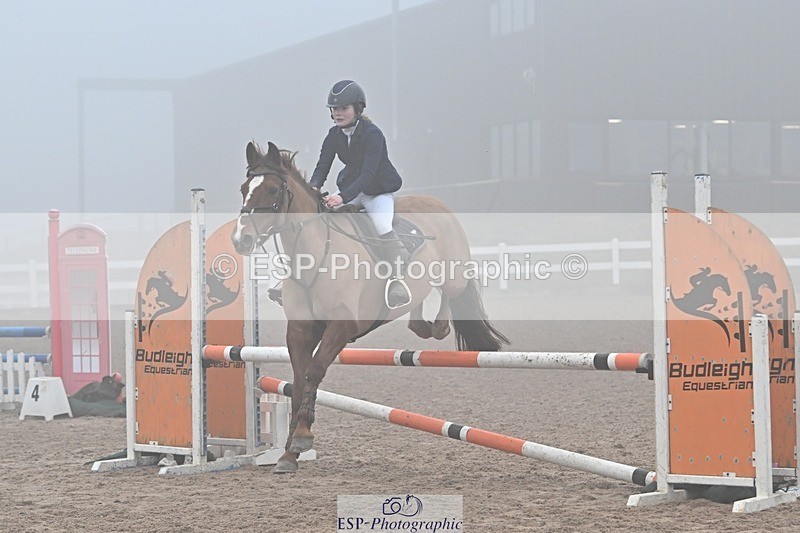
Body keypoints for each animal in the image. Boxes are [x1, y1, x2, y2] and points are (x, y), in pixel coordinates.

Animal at [232, 141, 508, 473]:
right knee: (419, 308)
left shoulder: (341, 327)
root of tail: (437, 203)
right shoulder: (299, 330)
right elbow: (298, 382)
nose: (241, 240)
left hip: (454, 276)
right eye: (244, 189)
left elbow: (313, 372)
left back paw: (437, 324)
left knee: (448, 297)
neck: (315, 256)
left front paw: (301, 438)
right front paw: (287, 455)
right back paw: (413, 312)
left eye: (273, 190)